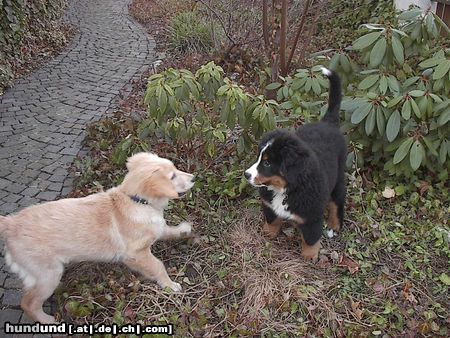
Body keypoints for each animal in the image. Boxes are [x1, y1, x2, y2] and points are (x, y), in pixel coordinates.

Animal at [0, 152, 195, 324]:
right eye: (172, 176)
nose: (193, 178)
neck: (136, 201)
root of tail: (10, 222)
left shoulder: (154, 231)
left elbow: (165, 230)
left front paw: (183, 230)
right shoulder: (135, 254)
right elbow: (158, 266)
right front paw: (170, 285)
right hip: (47, 273)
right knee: (28, 303)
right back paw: (48, 320)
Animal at [246, 67, 344, 260]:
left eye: (267, 164)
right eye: (259, 157)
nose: (246, 174)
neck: (284, 189)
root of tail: (328, 123)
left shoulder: (312, 215)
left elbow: (311, 239)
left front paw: (309, 256)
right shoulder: (269, 205)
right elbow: (272, 220)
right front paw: (268, 233)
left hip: (338, 178)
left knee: (337, 202)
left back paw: (335, 225)